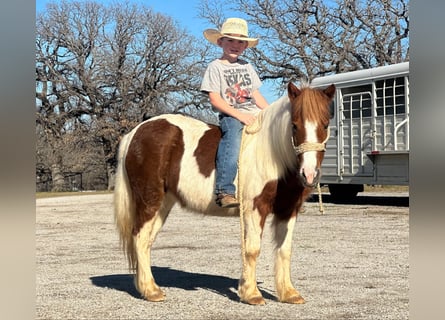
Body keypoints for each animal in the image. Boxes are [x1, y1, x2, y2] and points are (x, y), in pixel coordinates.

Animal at [112, 81, 334, 304]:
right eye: (294, 125)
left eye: (325, 125)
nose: (309, 174)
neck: (273, 155)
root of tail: (134, 133)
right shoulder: (255, 207)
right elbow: (252, 249)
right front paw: (251, 294)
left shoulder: (288, 210)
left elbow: (284, 250)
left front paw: (289, 293)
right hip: (149, 199)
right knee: (140, 238)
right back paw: (151, 291)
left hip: (163, 203)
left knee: (147, 241)